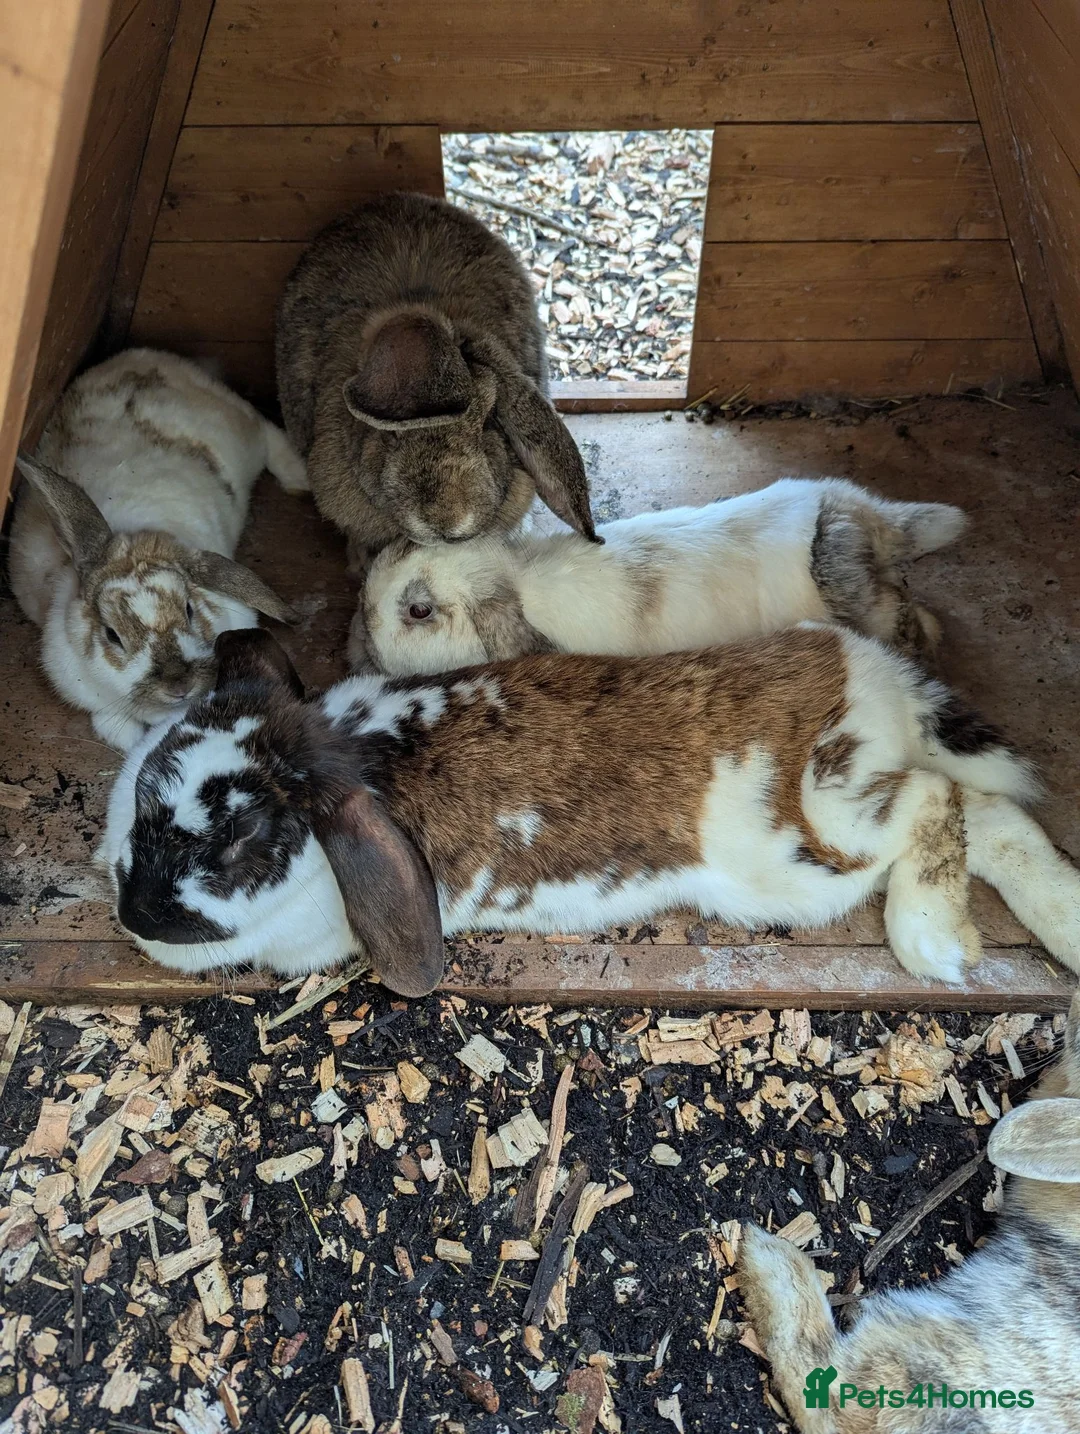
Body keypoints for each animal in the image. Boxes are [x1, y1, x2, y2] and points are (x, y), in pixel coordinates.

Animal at [7, 348, 305, 752]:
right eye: (112, 635)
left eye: (190, 610)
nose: (178, 686)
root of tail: (145, 355)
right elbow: (116, 727)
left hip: (241, 427)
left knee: (268, 431)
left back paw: (300, 479)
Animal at [98, 624, 1080, 999]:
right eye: (146, 788)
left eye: (240, 837)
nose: (136, 912)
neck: (355, 750)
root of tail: (873, 672)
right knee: (992, 813)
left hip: (819, 837)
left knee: (936, 799)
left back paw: (935, 942)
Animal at [359, 477, 968, 675]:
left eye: (418, 611)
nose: (363, 626)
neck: (521, 582)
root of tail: (857, 517)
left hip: (862, 602)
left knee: (899, 612)